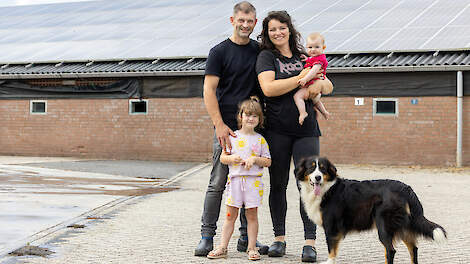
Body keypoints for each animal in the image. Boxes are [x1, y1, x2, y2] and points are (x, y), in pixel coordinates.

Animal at [296, 157, 446, 264]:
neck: (327, 188)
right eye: (311, 168)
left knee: (390, 250)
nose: (318, 177)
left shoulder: (331, 227)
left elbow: (331, 249)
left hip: (384, 225)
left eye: (323, 169)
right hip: (402, 225)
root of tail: (406, 188)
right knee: (413, 249)